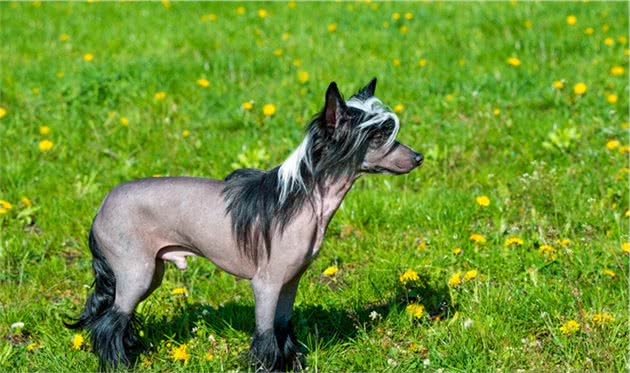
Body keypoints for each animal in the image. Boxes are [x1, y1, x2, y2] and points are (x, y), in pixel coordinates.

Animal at [65, 76, 424, 370]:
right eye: (378, 135)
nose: (419, 157)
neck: (303, 198)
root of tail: (101, 207)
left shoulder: (289, 282)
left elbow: (283, 331)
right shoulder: (265, 284)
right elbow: (266, 338)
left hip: (151, 272)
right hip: (135, 272)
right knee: (110, 323)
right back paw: (118, 363)